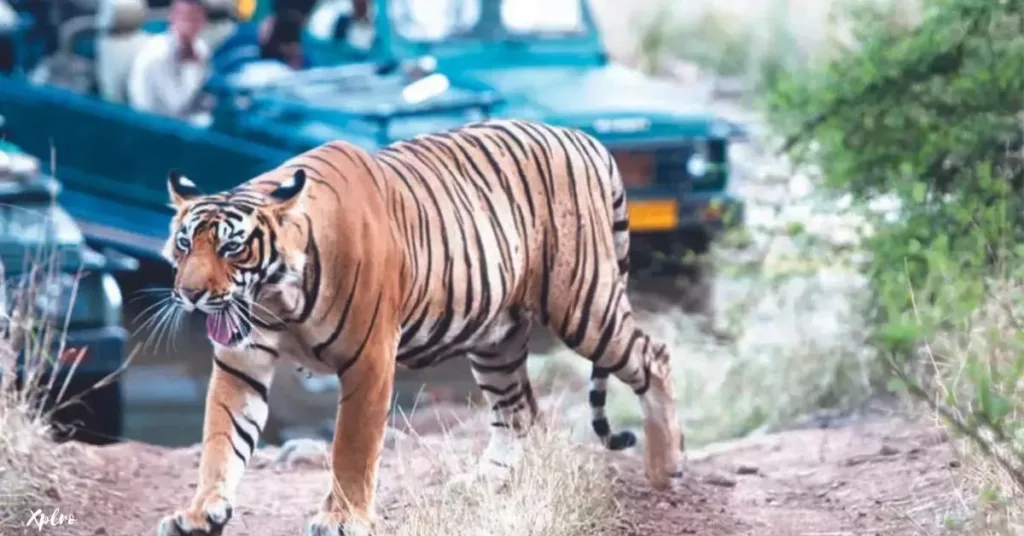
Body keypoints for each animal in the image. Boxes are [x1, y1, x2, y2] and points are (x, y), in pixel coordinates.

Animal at [153, 118, 679, 536]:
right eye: (184, 244)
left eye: (232, 247)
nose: (190, 293)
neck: (277, 297)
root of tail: (584, 138)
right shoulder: (241, 363)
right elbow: (221, 439)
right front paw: (200, 514)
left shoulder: (368, 360)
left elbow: (351, 447)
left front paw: (343, 519)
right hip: (496, 338)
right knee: (519, 409)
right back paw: (485, 482)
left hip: (584, 304)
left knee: (654, 358)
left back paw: (665, 470)